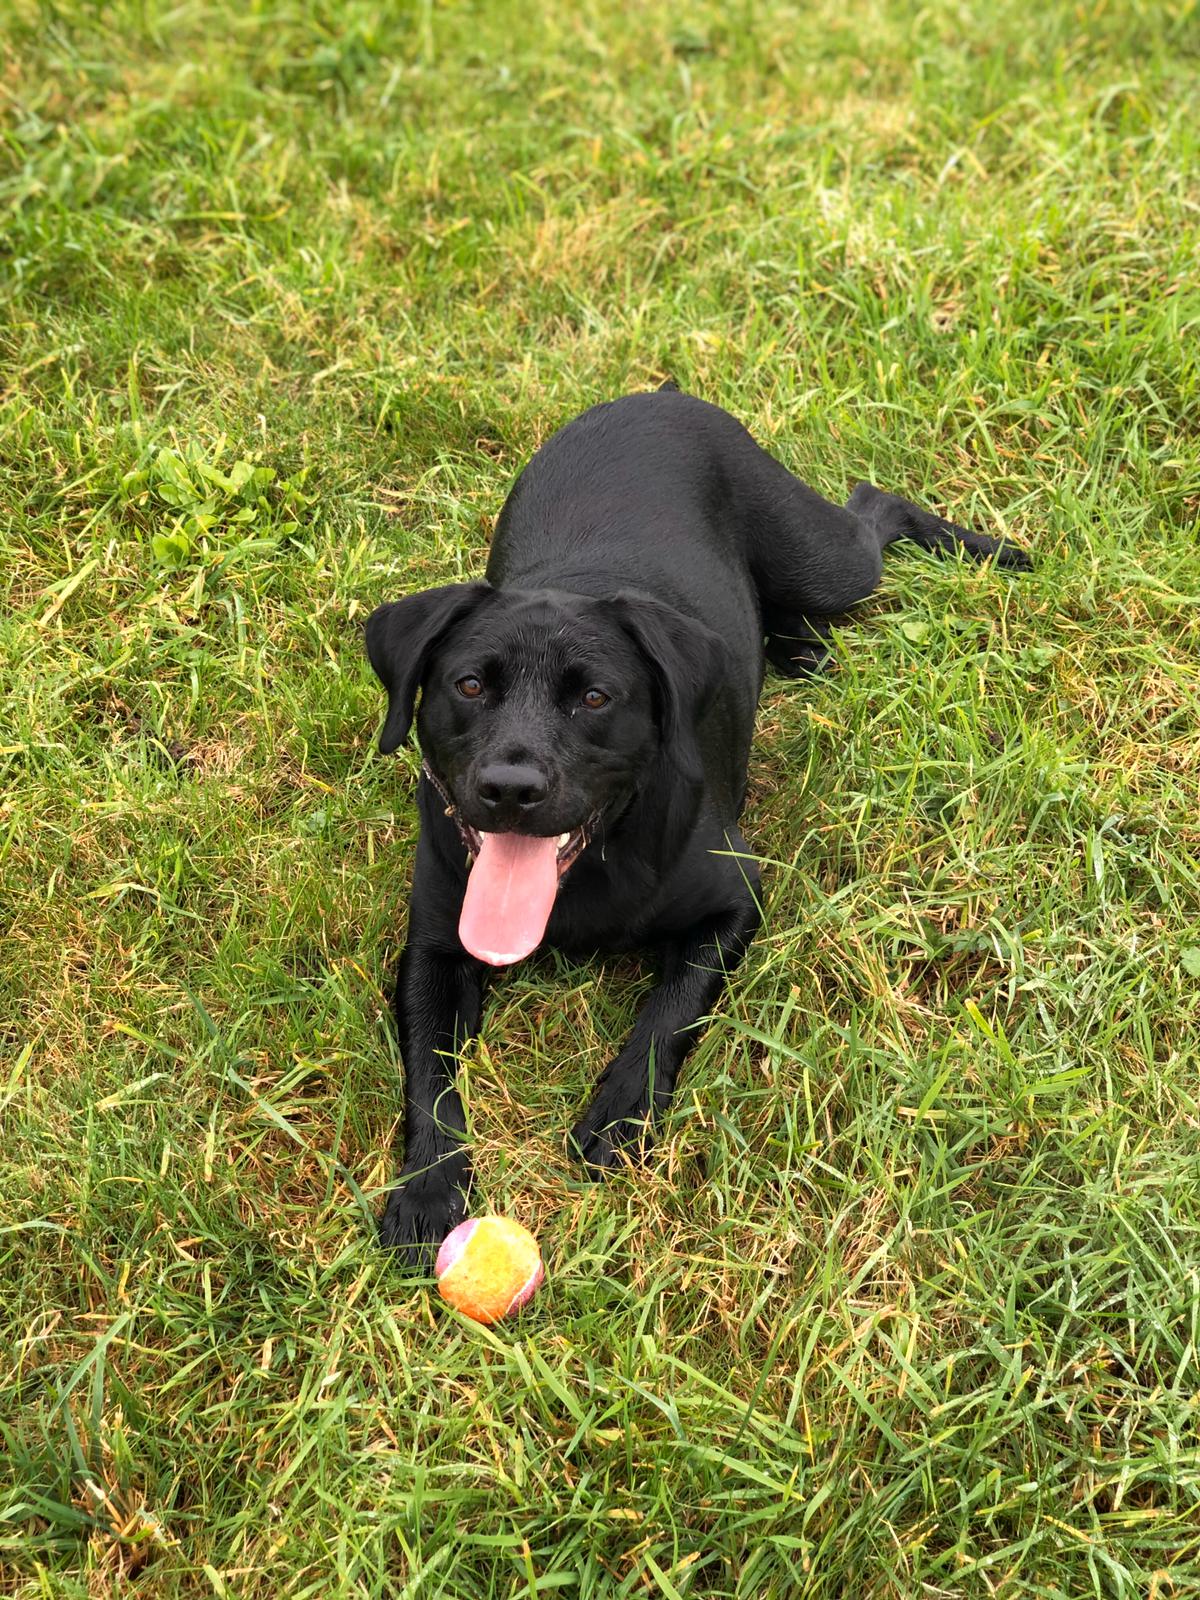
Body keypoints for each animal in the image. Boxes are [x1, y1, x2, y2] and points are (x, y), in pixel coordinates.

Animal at [364, 387, 1024, 1260]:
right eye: (469, 686)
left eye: (595, 698)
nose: (510, 788)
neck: (588, 876)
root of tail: (659, 394)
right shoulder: (434, 944)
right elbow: (428, 1072)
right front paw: (429, 1187)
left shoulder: (734, 903)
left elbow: (669, 1014)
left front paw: (620, 1114)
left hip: (825, 560)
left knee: (875, 506)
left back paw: (990, 551)